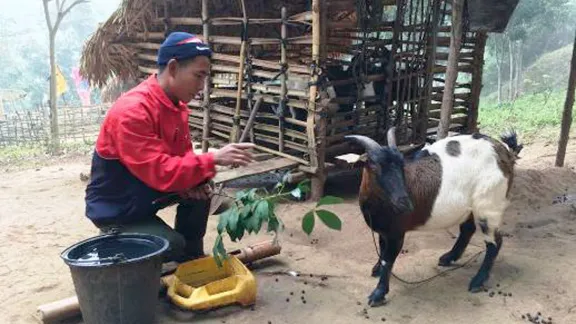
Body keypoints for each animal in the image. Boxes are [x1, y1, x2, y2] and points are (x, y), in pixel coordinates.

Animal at [344, 126, 524, 306]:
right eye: (374, 166)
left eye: (402, 165)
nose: (405, 204)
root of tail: (504, 152)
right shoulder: (384, 231)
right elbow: (382, 251)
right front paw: (377, 270)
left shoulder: (397, 233)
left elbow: (388, 260)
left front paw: (378, 294)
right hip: (470, 208)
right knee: (468, 229)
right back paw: (449, 258)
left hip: (489, 205)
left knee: (495, 242)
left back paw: (477, 281)